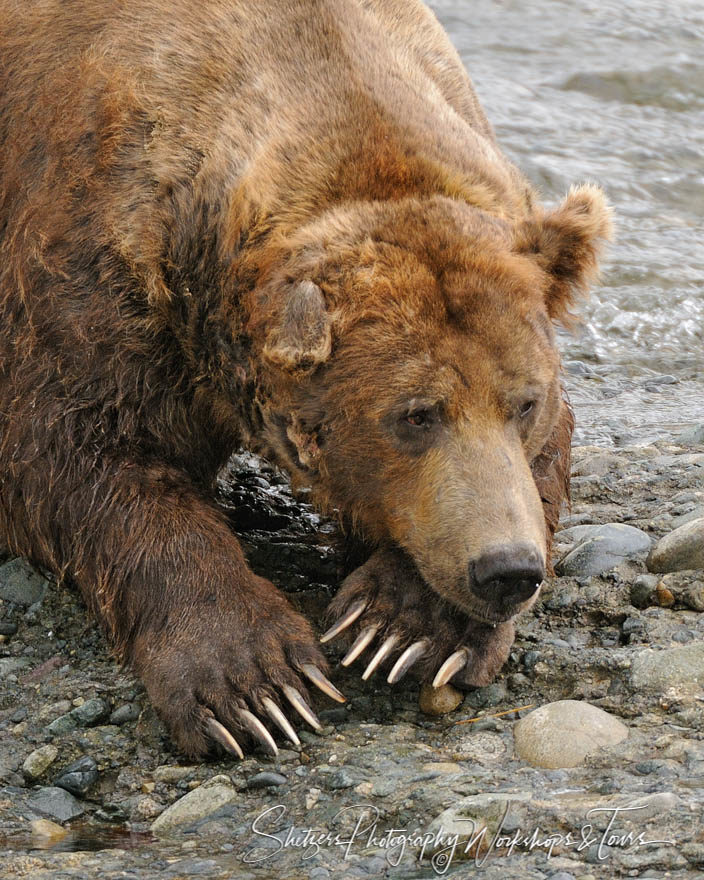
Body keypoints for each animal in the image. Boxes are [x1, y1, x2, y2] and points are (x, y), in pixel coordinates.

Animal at [0, 0, 612, 756]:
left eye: (524, 403)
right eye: (415, 414)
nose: (508, 570)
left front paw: (407, 627)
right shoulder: (90, 265)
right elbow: (78, 456)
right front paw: (251, 683)